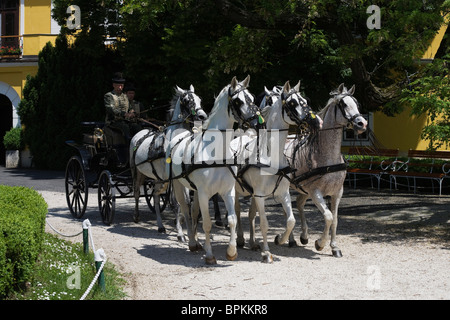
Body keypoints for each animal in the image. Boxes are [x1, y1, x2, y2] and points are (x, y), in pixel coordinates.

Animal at [130, 85, 207, 240]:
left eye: (199, 99)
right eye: (187, 100)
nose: (202, 116)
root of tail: (139, 134)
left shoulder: (182, 177)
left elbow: (186, 203)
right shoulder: (174, 179)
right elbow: (176, 204)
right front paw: (180, 233)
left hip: (160, 178)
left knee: (155, 195)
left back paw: (160, 226)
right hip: (137, 173)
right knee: (136, 193)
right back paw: (136, 215)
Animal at [168, 75, 260, 264]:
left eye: (252, 98)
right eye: (238, 101)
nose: (257, 121)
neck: (215, 151)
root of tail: (179, 136)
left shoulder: (228, 191)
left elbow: (232, 219)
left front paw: (231, 251)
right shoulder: (204, 193)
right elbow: (207, 223)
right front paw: (210, 255)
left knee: (194, 211)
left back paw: (197, 242)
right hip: (180, 186)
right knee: (185, 210)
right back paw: (192, 242)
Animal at [230, 80, 322, 262]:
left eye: (305, 100)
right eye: (292, 103)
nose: (316, 122)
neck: (270, 154)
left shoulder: (282, 193)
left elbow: (291, 220)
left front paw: (280, 239)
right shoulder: (259, 195)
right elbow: (264, 223)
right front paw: (266, 252)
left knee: (251, 215)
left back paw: (253, 243)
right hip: (237, 192)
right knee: (237, 212)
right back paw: (240, 240)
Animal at [286, 83, 368, 258]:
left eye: (356, 103)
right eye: (343, 104)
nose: (362, 123)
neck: (328, 157)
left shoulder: (337, 192)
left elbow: (335, 220)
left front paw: (334, 247)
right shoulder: (316, 192)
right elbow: (328, 217)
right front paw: (320, 243)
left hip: (303, 189)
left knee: (299, 202)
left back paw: (303, 236)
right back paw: (290, 239)